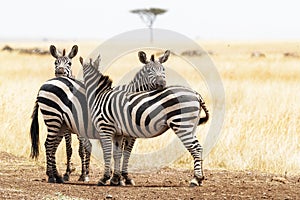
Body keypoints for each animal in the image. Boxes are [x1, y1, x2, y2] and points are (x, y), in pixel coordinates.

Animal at [30, 49, 171, 183]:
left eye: (163, 69)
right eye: (149, 70)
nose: (161, 84)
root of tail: (48, 82)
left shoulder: (130, 134)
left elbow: (126, 153)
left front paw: (124, 177)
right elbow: (118, 152)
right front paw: (117, 177)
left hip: (60, 124)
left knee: (52, 146)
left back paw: (57, 176)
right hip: (53, 118)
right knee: (49, 145)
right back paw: (54, 176)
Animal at [81, 55, 210, 186]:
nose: (161, 84)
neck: (100, 95)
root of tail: (196, 94)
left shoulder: (105, 128)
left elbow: (107, 153)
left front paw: (105, 178)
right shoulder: (118, 133)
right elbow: (117, 154)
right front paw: (115, 179)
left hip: (182, 125)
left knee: (196, 148)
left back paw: (196, 179)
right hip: (191, 127)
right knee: (198, 148)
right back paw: (199, 178)